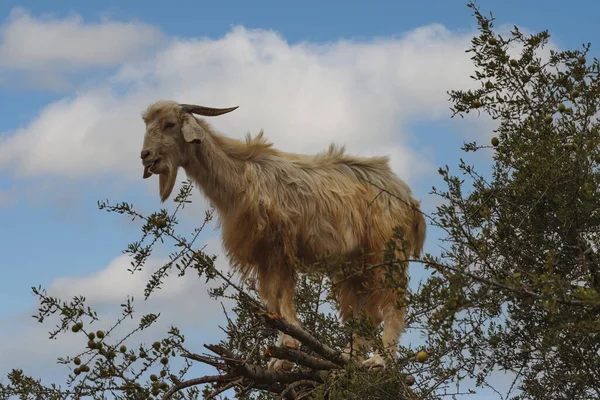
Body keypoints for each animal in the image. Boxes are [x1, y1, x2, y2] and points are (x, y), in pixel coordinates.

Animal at [138, 101, 424, 372]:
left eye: (170, 124)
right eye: (147, 125)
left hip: (387, 249)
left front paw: (287, 352)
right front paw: (281, 355)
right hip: (355, 265)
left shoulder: (278, 246)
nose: (145, 155)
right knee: (366, 311)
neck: (240, 178)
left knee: (393, 301)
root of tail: (408, 197)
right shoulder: (264, 254)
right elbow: (272, 300)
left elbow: (281, 295)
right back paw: (346, 358)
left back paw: (380, 360)